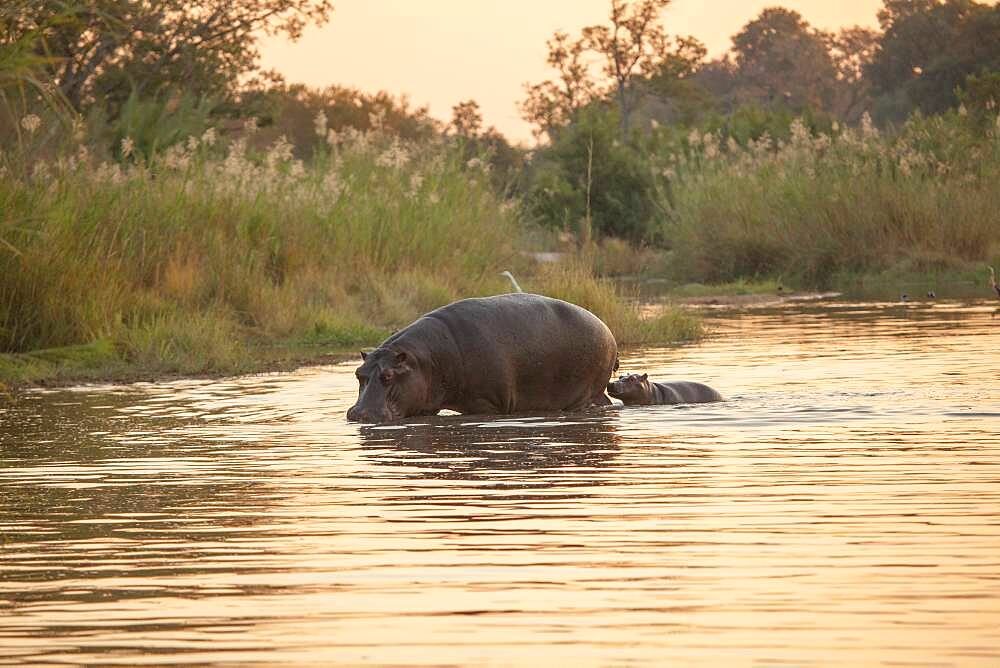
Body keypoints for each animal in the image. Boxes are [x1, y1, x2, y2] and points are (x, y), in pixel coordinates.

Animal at [348, 294, 620, 422]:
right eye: (359, 374)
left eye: (388, 375)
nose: (357, 414)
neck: (423, 361)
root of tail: (607, 329)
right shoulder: (426, 406)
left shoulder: (486, 403)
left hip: (584, 395)